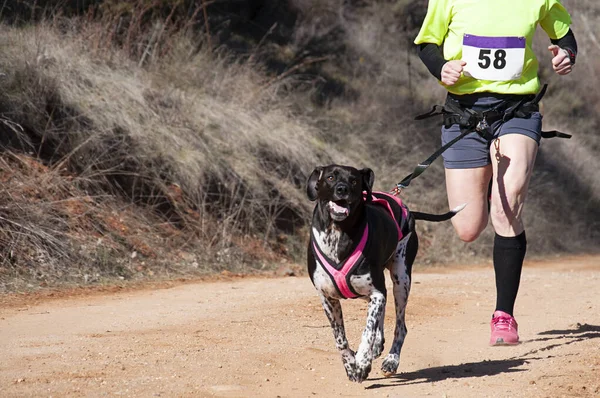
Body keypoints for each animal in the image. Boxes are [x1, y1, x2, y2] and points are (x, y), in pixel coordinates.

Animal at [304, 164, 464, 382]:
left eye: (354, 180)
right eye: (330, 177)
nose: (342, 189)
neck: (338, 232)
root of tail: (408, 210)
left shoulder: (376, 292)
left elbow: (368, 330)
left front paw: (362, 361)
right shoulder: (328, 299)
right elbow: (340, 339)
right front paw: (351, 365)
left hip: (401, 280)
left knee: (400, 326)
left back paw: (391, 359)